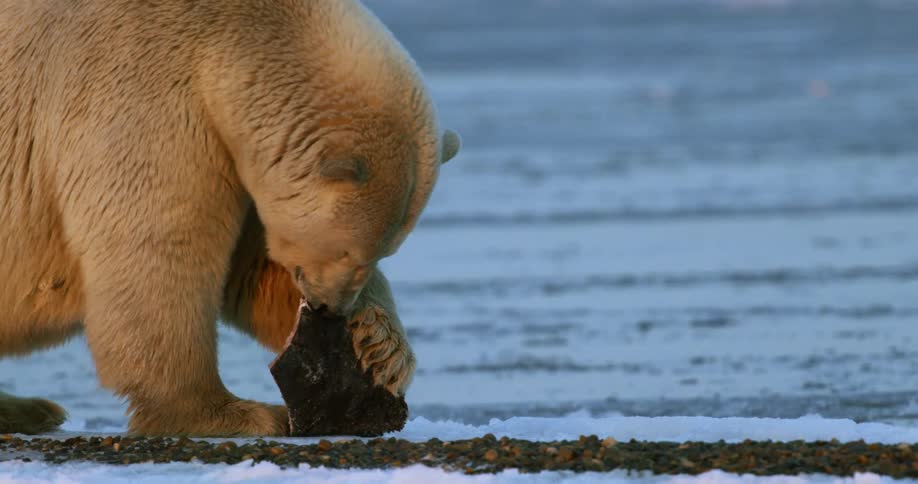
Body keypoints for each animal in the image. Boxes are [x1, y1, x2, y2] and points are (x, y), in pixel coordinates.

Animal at [0, 0, 460, 436]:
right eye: (348, 250)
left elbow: (251, 264)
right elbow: (160, 251)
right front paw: (233, 412)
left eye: (386, 251)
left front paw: (381, 349)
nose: (331, 306)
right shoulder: (141, 97)